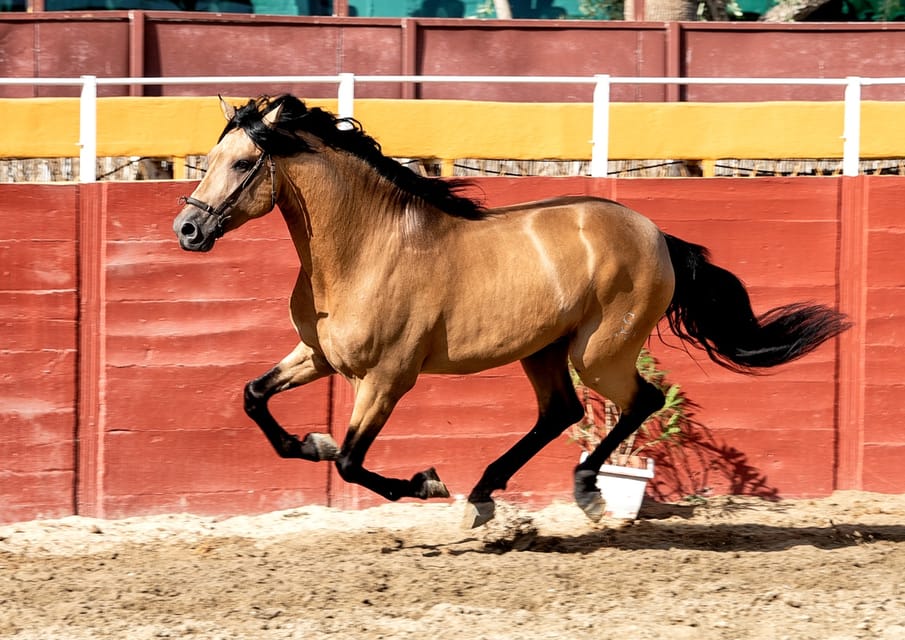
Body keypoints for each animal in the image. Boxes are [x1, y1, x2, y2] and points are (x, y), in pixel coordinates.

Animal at [171, 95, 848, 524]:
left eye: (242, 163)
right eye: (212, 158)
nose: (187, 230)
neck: (367, 248)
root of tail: (657, 235)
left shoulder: (387, 378)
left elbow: (353, 461)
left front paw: (425, 481)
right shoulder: (319, 355)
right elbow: (257, 399)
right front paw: (309, 442)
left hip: (598, 352)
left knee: (640, 401)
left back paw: (585, 493)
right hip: (545, 350)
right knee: (560, 412)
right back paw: (485, 494)